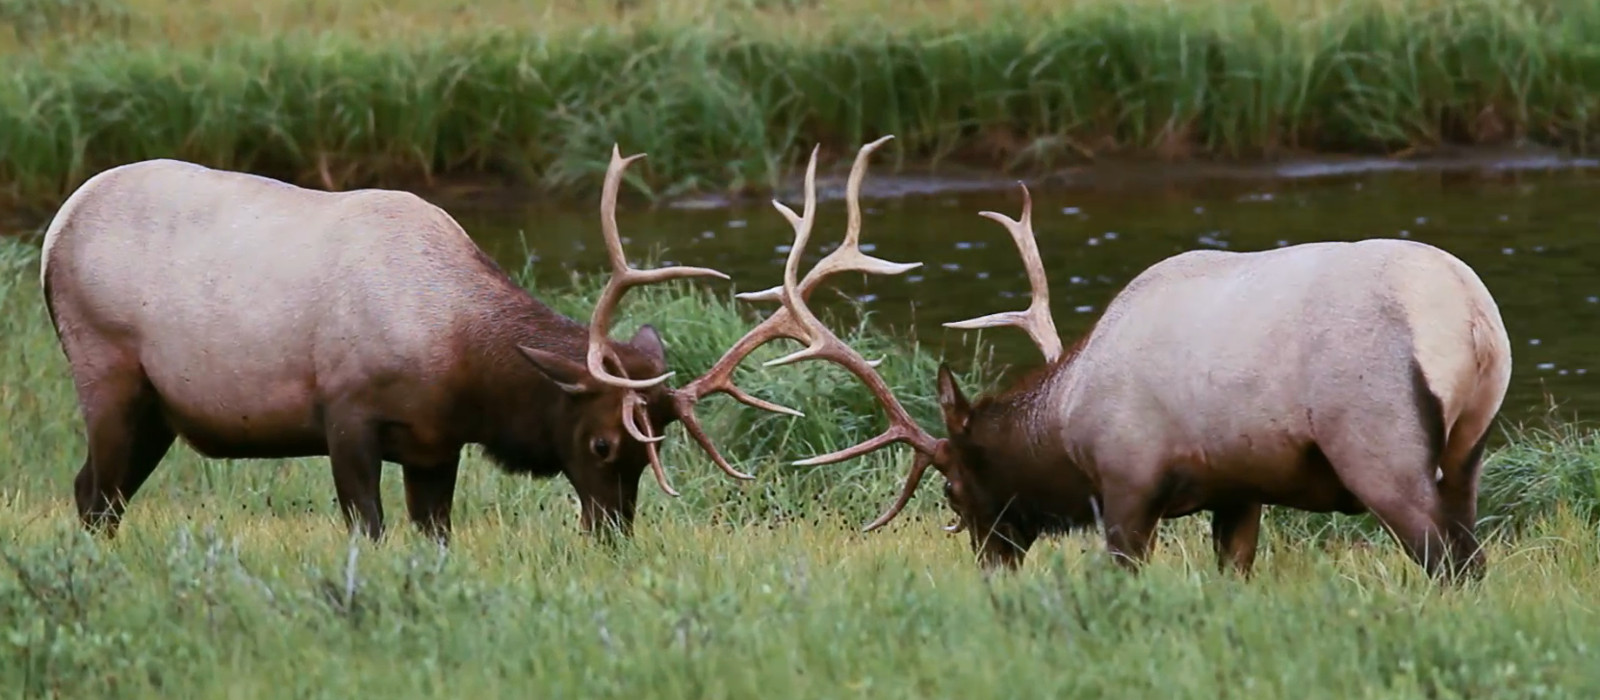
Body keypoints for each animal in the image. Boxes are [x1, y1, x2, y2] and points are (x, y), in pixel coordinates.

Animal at [39, 147, 780, 540]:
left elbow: (435, 535)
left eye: (651, 453)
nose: (613, 534)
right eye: (601, 444)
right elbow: (367, 527)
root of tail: (54, 232)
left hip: (159, 409)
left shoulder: (433, 445)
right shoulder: (345, 414)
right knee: (94, 491)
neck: (462, 368)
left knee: (99, 493)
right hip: (107, 370)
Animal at [742, 135, 1504, 578]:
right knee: (1472, 551)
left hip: (1379, 444)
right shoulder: (1239, 489)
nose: (989, 568)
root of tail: (1472, 320)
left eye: (952, 487)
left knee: (1450, 561)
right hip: (1469, 448)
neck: (1066, 423)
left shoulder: (1128, 480)